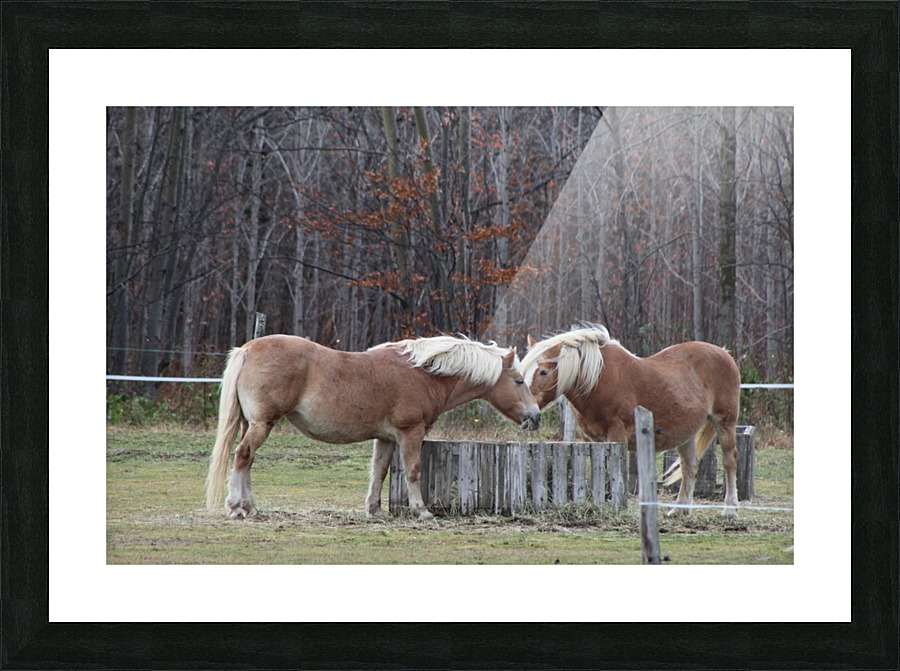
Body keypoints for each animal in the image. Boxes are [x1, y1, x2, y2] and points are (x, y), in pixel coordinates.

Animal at [205, 334, 541, 521]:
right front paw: (422, 511)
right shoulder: (410, 433)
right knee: (243, 457)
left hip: (253, 424)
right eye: (519, 381)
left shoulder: (387, 438)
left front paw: (375, 510)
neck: (425, 374)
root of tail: (247, 349)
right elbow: (413, 471)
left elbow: (379, 472)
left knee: (247, 460)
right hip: (262, 424)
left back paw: (249, 507)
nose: (535, 416)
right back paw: (236, 507)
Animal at [521, 325, 741, 515]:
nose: (528, 415)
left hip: (725, 422)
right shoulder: (593, 440)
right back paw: (680, 511)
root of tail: (725, 354)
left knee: (729, 461)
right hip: (686, 433)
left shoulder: (617, 434)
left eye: (543, 371)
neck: (599, 380)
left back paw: (730, 510)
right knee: (690, 466)